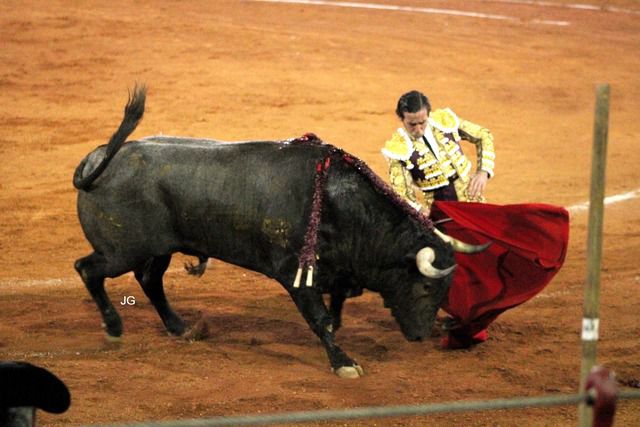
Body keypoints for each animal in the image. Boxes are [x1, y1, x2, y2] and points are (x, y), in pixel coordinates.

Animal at [73, 85, 481, 378]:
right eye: (425, 286)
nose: (420, 336)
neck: (343, 207)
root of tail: (98, 160)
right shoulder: (296, 275)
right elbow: (321, 319)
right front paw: (344, 363)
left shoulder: (337, 271)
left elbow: (335, 308)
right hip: (122, 250)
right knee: (89, 269)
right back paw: (114, 327)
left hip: (160, 248)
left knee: (149, 279)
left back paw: (179, 327)